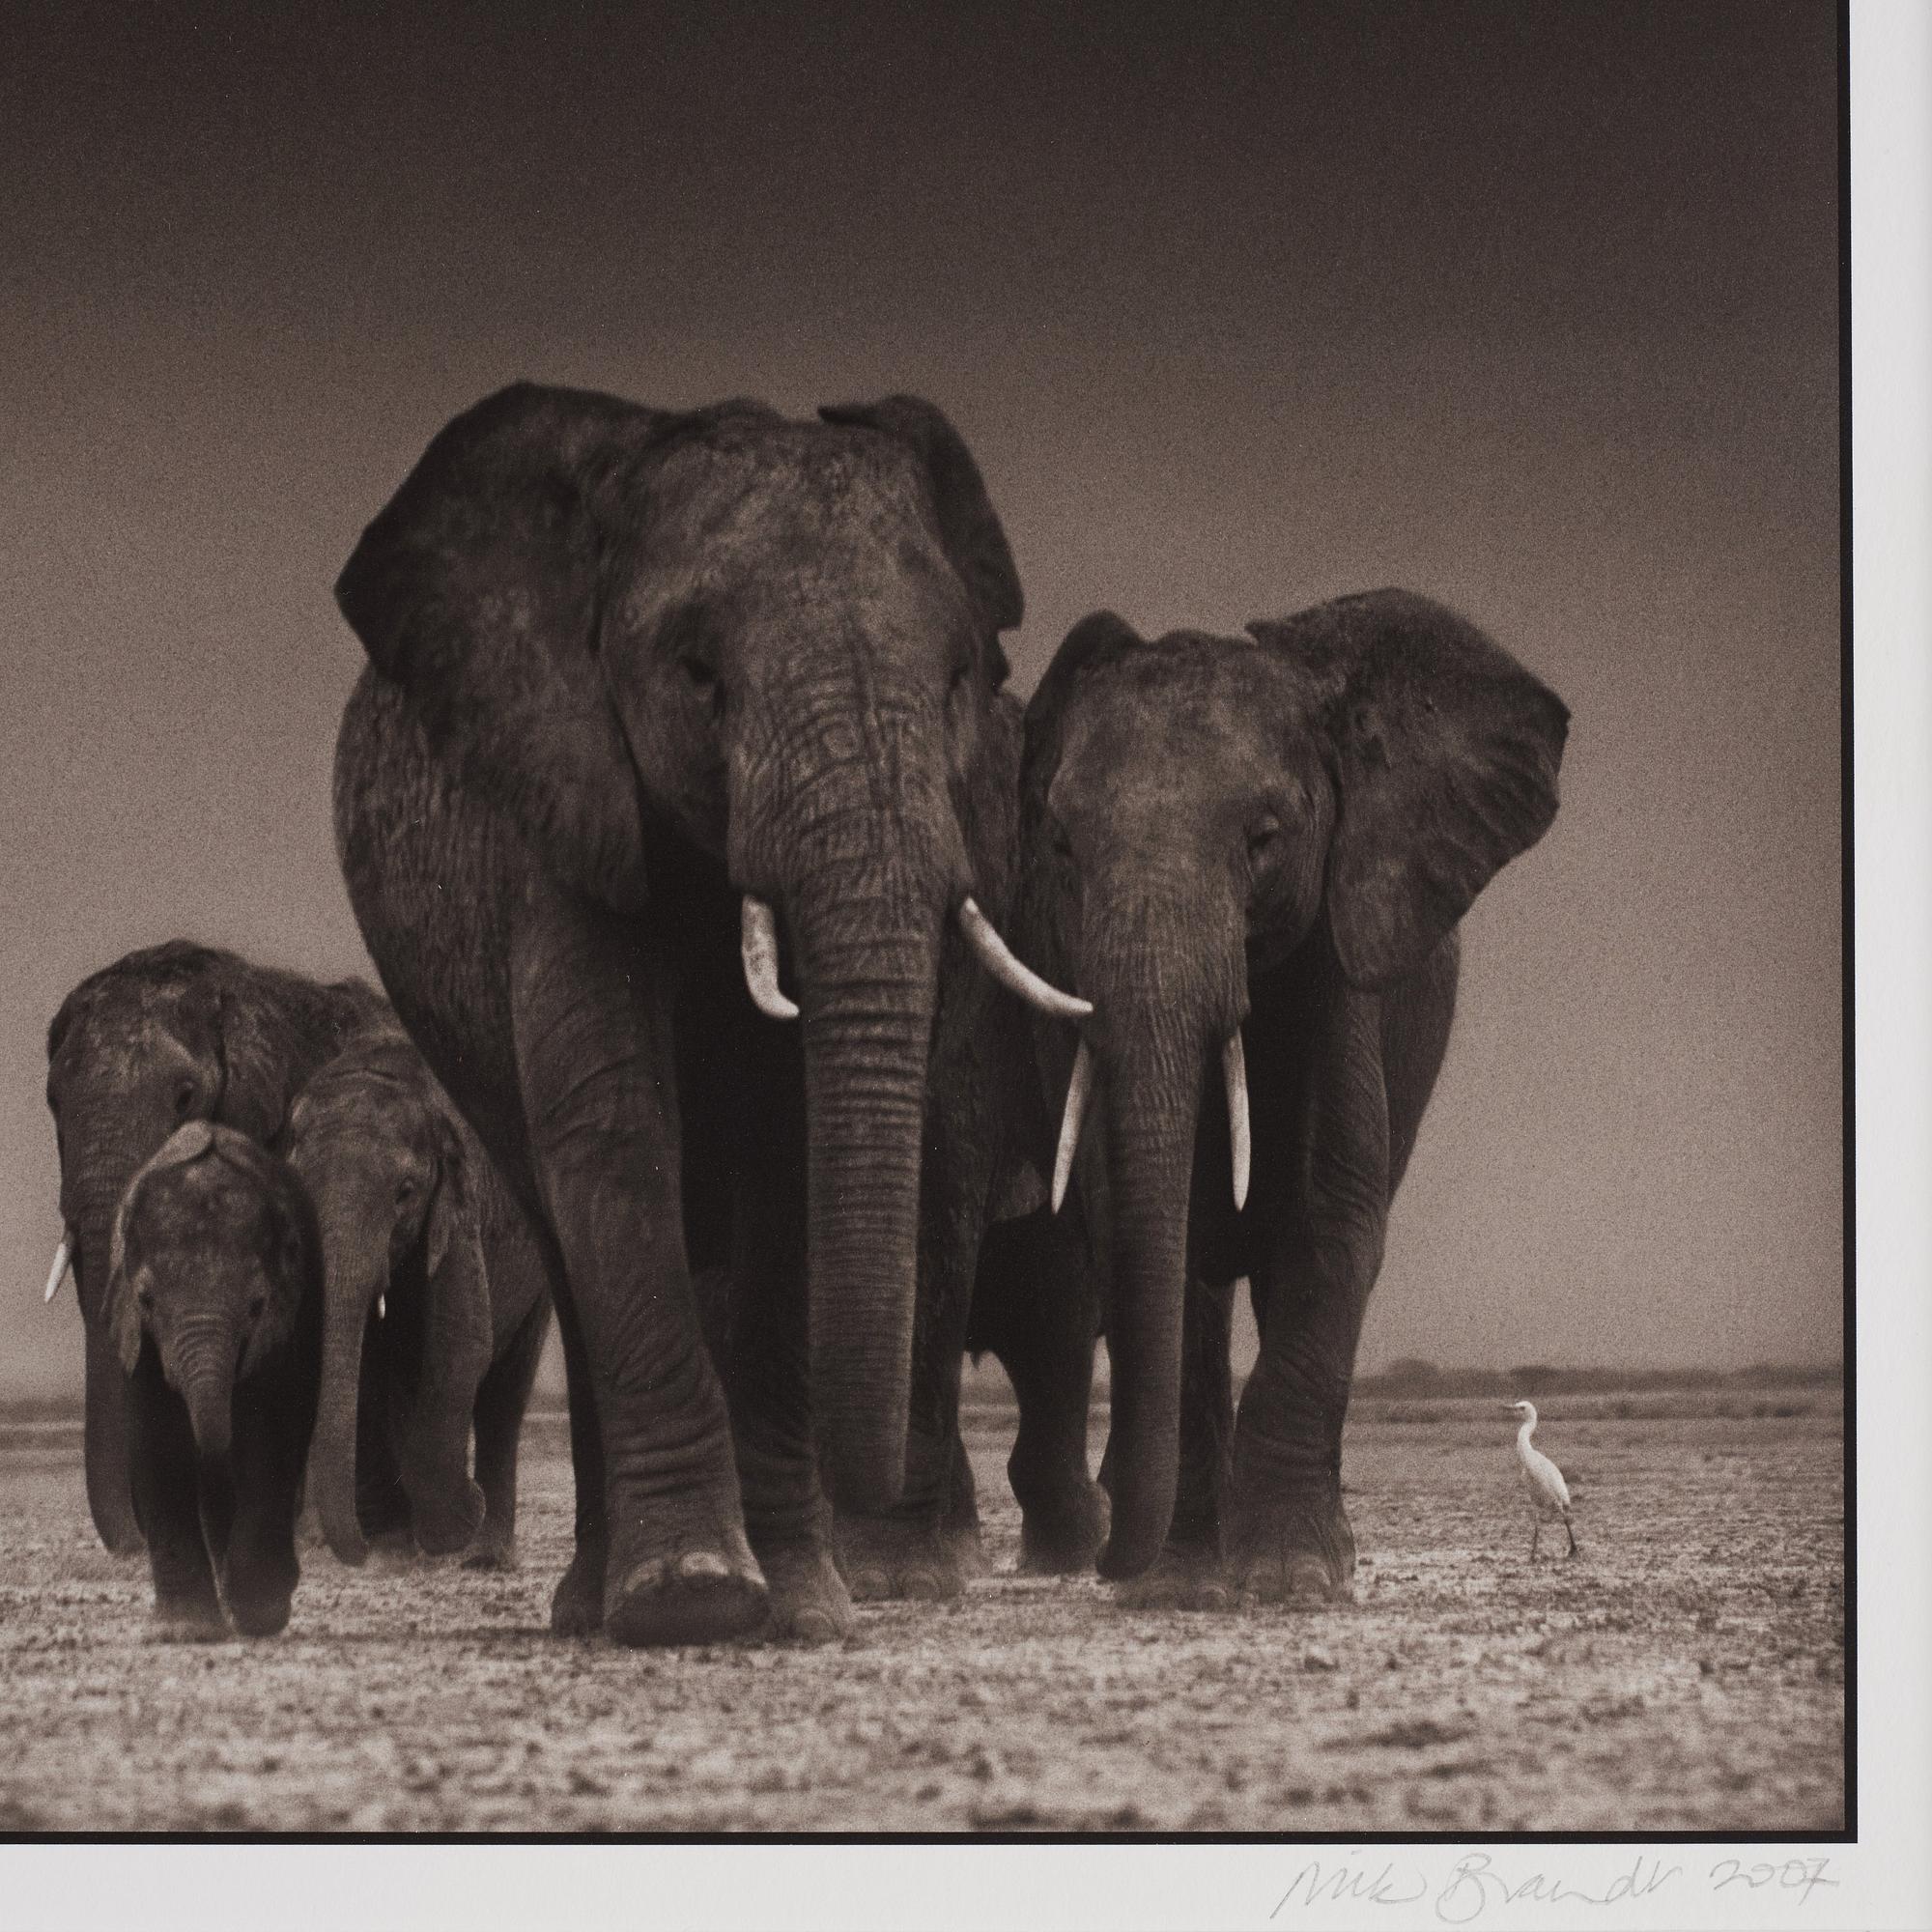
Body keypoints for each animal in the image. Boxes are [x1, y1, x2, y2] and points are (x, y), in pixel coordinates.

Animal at [105, 1122, 324, 1638]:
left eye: (257, 1306)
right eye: (145, 1301)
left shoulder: (286, 1321)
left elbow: (267, 1439)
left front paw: (260, 1614)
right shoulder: (137, 1339)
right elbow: (157, 1443)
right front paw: (188, 1631)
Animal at [284, 1016, 551, 1569]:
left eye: (405, 1194)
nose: (359, 1552)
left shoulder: (460, 1208)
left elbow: (461, 1346)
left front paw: (458, 1522)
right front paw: (392, 1547)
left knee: (505, 1391)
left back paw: (485, 1555)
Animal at [329, 382, 1087, 1646]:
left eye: (955, 682)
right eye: (697, 676)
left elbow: (790, 1152)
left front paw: (805, 1606)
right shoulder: (560, 801)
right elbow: (615, 1126)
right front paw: (690, 1597)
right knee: (565, 1223)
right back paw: (595, 1602)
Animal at [999, 590, 1568, 1605]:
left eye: (1265, 838)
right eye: (1061, 847)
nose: (1107, 1564)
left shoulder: (1341, 963)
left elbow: (1327, 1218)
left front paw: (1294, 1578)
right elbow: (1162, 1242)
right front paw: (1179, 1585)